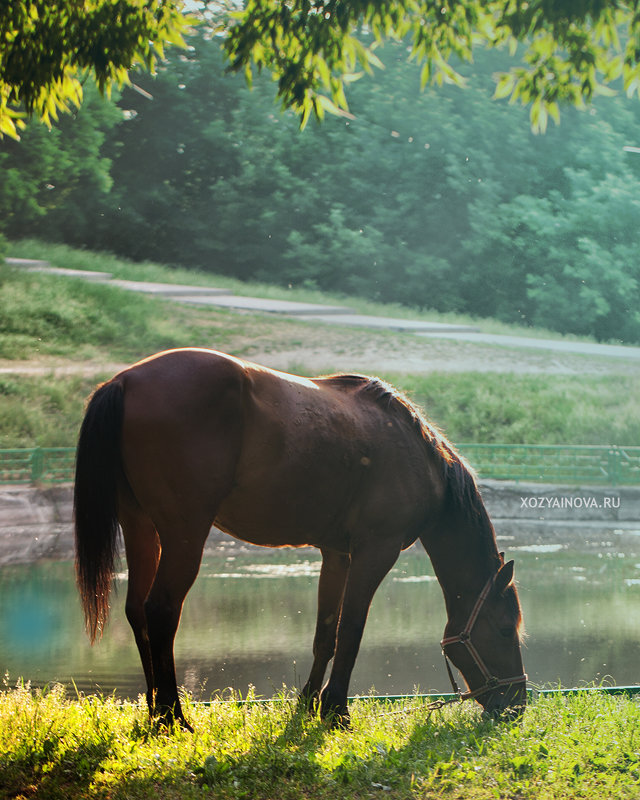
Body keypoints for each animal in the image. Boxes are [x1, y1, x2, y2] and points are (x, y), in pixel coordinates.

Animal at [74, 346, 524, 728]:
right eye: (505, 629)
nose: (517, 703)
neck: (419, 459)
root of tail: (125, 381)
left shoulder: (337, 554)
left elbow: (326, 633)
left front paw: (309, 703)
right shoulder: (375, 552)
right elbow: (351, 631)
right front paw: (337, 710)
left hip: (140, 526)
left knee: (137, 611)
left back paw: (154, 712)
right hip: (184, 534)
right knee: (161, 610)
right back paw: (172, 716)